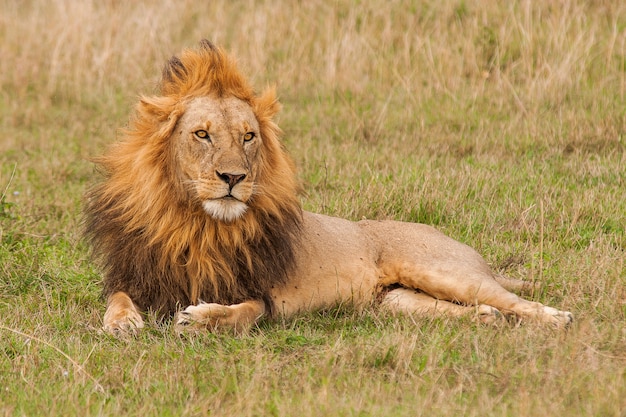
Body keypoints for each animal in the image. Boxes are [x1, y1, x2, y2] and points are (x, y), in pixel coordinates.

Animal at [85, 40, 572, 334]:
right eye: (202, 134)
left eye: (248, 137)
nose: (234, 178)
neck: (197, 224)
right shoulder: (137, 275)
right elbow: (117, 297)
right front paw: (123, 323)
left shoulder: (265, 297)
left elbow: (242, 313)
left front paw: (203, 318)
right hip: (397, 303)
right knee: (482, 312)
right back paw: (488, 319)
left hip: (444, 271)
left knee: (513, 300)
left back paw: (557, 318)